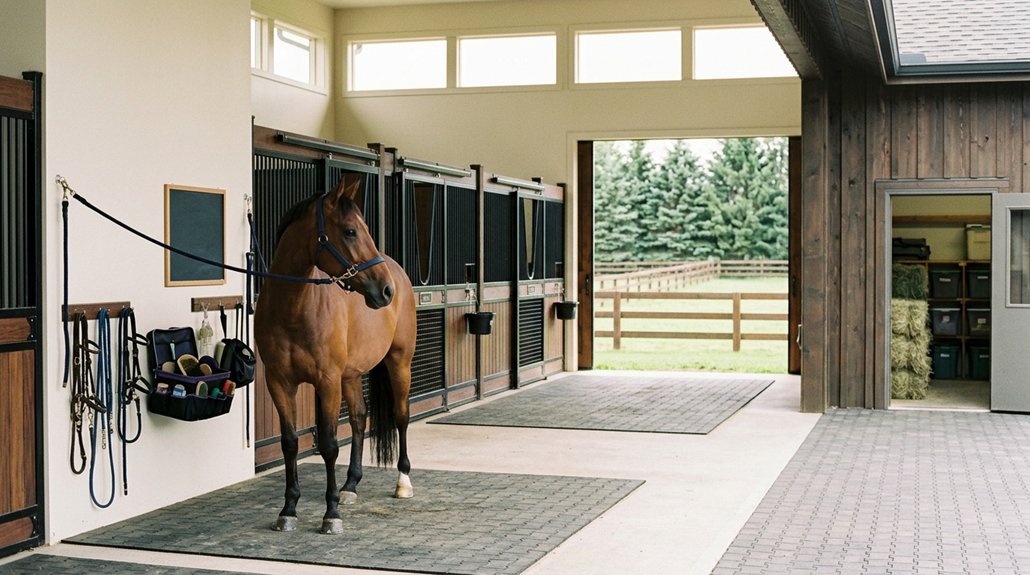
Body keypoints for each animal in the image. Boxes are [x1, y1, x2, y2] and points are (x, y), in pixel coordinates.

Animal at [254, 174, 416, 535]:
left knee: (401, 416)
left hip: (399, 362)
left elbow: (328, 445)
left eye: (363, 228)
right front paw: (288, 510)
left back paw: (403, 482)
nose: (385, 290)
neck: (294, 308)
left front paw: (331, 514)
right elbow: (289, 442)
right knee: (359, 417)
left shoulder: (326, 381)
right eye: (351, 231)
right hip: (351, 374)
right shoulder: (279, 382)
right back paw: (350, 486)